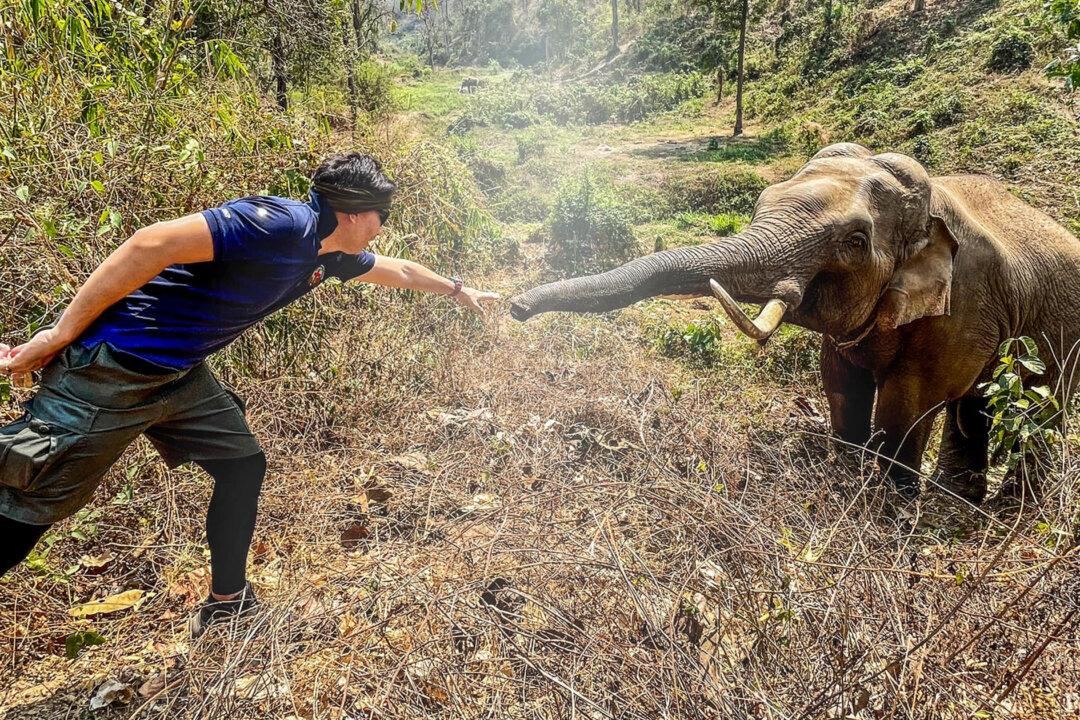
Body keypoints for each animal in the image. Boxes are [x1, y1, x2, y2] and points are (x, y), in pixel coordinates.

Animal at [509, 143, 1080, 502]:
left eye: (855, 241)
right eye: (762, 202)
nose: (514, 307)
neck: (931, 203)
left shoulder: (963, 305)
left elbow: (908, 406)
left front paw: (889, 512)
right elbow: (841, 386)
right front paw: (845, 481)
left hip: (1064, 336)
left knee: (1039, 412)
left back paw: (1008, 507)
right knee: (977, 407)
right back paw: (963, 500)